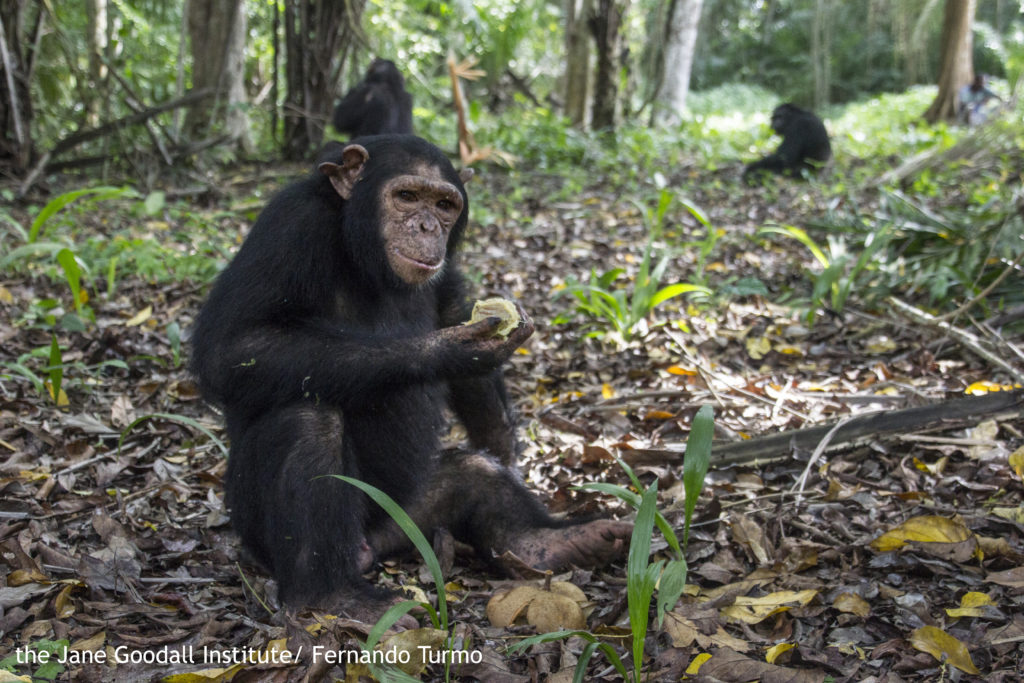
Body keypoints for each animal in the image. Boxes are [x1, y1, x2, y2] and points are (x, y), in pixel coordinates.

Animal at [188, 133, 626, 618]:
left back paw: (556, 541)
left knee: (477, 476)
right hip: (262, 531)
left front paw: (507, 451)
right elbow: (234, 345)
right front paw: (449, 350)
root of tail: (369, 546)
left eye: (444, 205)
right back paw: (331, 594)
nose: (427, 227)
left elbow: (454, 320)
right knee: (306, 418)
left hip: (408, 514)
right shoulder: (290, 226)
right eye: (407, 196)